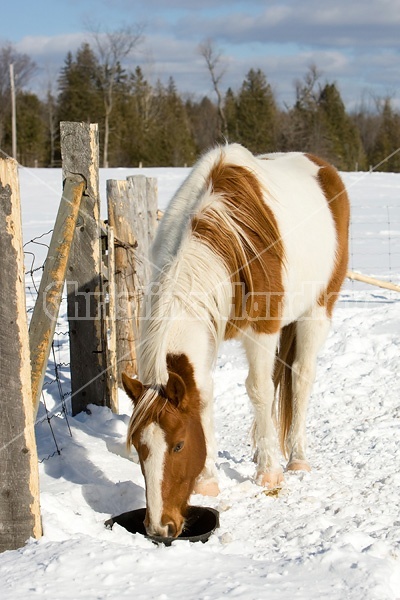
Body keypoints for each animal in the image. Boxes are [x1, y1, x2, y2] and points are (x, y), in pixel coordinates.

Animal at [122, 144, 350, 540]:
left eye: (179, 445)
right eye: (139, 447)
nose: (159, 527)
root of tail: (323, 167)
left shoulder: (263, 329)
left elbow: (259, 389)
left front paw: (269, 474)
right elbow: (205, 396)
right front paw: (210, 481)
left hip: (317, 311)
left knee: (300, 378)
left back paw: (295, 459)